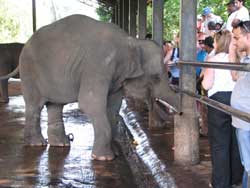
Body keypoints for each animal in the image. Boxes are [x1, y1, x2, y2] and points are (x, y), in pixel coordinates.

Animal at [0, 15, 179, 161]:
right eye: (156, 78)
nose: (177, 115)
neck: (131, 42)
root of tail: (26, 43)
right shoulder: (99, 65)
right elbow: (90, 103)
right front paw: (105, 158)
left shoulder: (115, 76)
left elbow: (112, 107)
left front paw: (115, 153)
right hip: (30, 71)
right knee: (35, 106)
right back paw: (37, 144)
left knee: (55, 105)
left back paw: (61, 144)